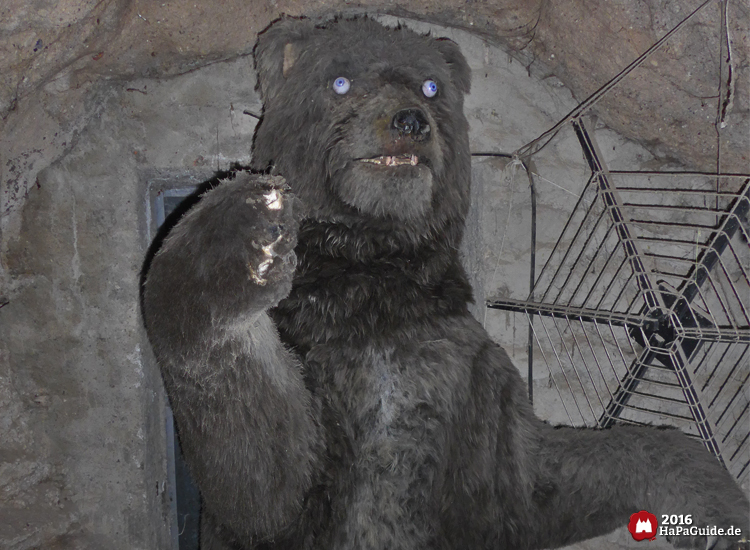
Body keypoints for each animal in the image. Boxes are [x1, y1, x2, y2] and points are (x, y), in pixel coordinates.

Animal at [141, 16, 749, 550]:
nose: (410, 120)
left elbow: (553, 479)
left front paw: (714, 500)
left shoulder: (473, 388)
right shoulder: (312, 379)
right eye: (340, 81)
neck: (376, 286)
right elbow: (260, 474)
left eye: (431, 86)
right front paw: (246, 233)